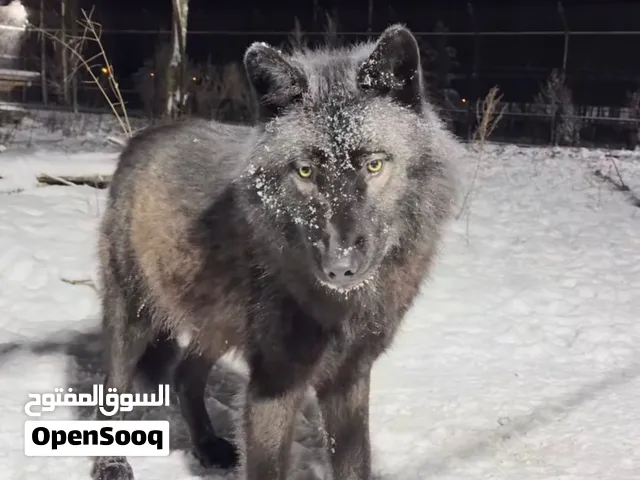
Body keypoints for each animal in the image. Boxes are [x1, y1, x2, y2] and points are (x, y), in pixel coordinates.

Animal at [91, 24, 460, 480]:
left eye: (374, 165)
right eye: (305, 171)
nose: (340, 267)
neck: (343, 306)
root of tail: (142, 137)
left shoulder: (349, 377)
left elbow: (355, 463)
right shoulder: (274, 383)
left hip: (215, 324)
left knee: (184, 375)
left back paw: (208, 446)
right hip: (134, 317)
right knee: (111, 392)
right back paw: (111, 464)